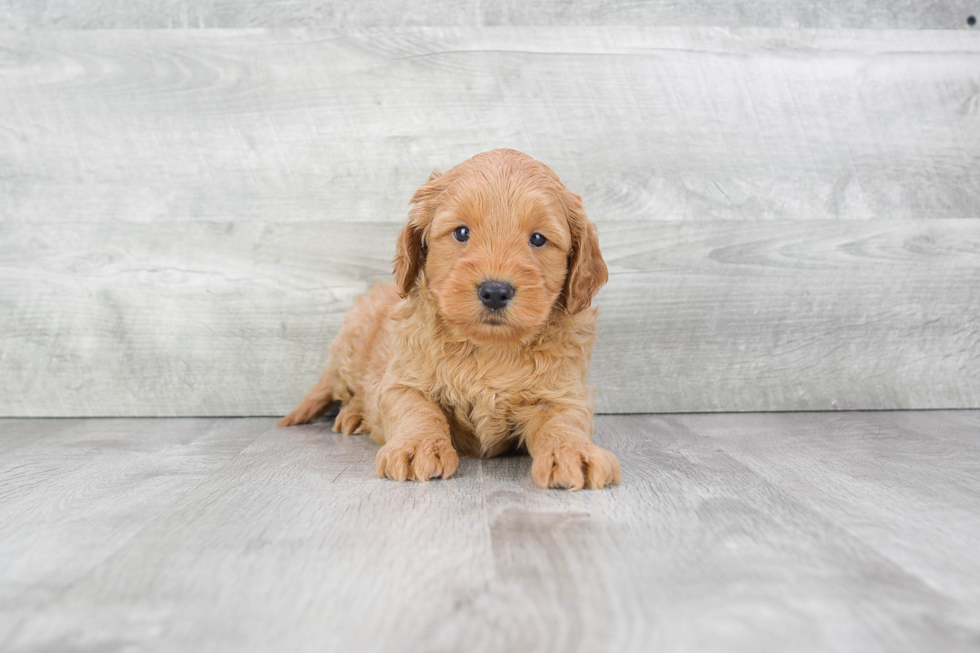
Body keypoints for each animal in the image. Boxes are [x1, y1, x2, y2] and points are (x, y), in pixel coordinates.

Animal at [280, 145, 620, 486]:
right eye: (461, 232)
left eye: (538, 239)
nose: (495, 291)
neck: (489, 349)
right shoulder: (404, 380)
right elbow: (417, 410)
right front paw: (417, 446)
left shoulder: (563, 393)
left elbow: (563, 422)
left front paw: (572, 452)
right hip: (350, 347)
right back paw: (352, 415)